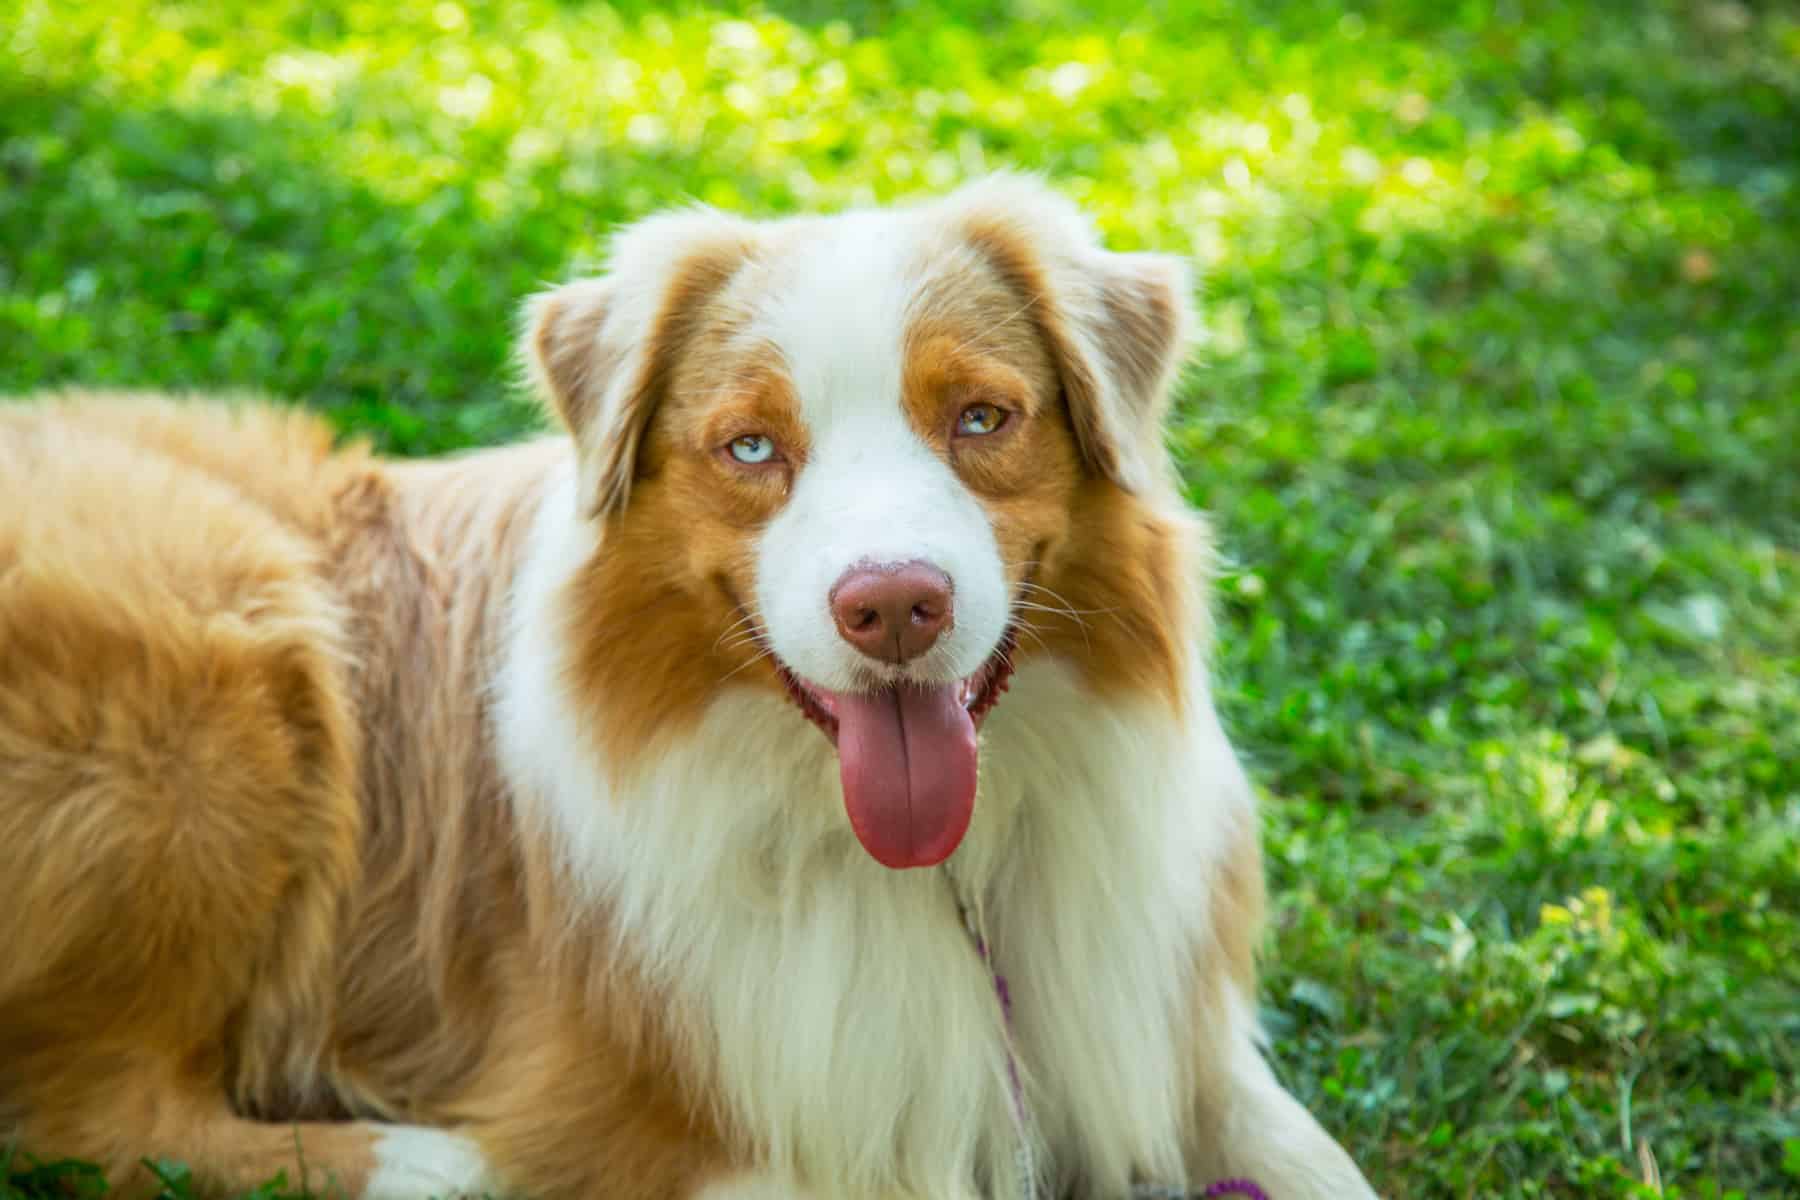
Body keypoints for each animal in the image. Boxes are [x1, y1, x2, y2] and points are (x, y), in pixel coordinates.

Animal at [0, 178, 1375, 1200]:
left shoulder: (1159, 1033)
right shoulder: (629, 1108)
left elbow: (1319, 1163)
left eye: (982, 419)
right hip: (221, 677)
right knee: (88, 1107)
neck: (932, 875)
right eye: (751, 447)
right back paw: (429, 1161)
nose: (894, 606)